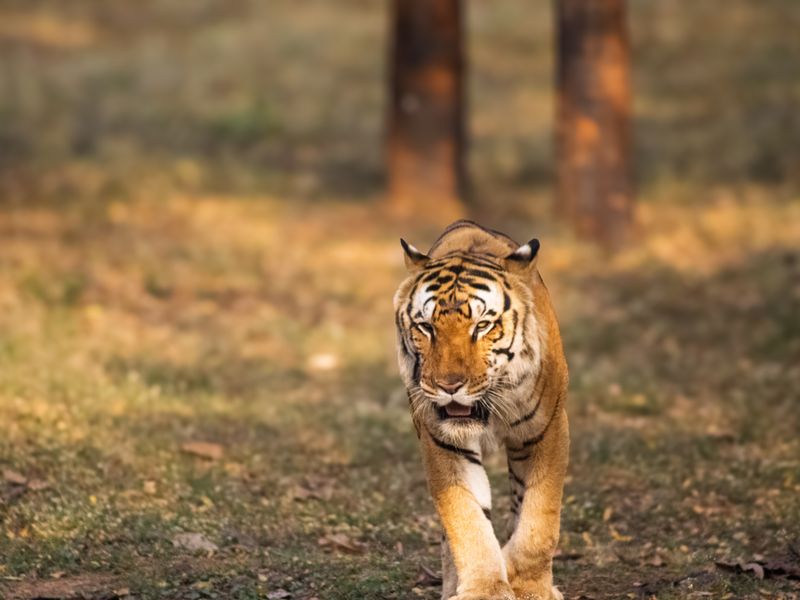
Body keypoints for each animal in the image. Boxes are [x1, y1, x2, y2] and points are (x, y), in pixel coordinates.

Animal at [393, 220, 569, 600]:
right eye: (426, 327)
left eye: (482, 326)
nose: (449, 385)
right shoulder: (443, 442)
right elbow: (467, 520)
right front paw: (485, 589)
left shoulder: (548, 430)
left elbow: (539, 519)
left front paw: (530, 586)